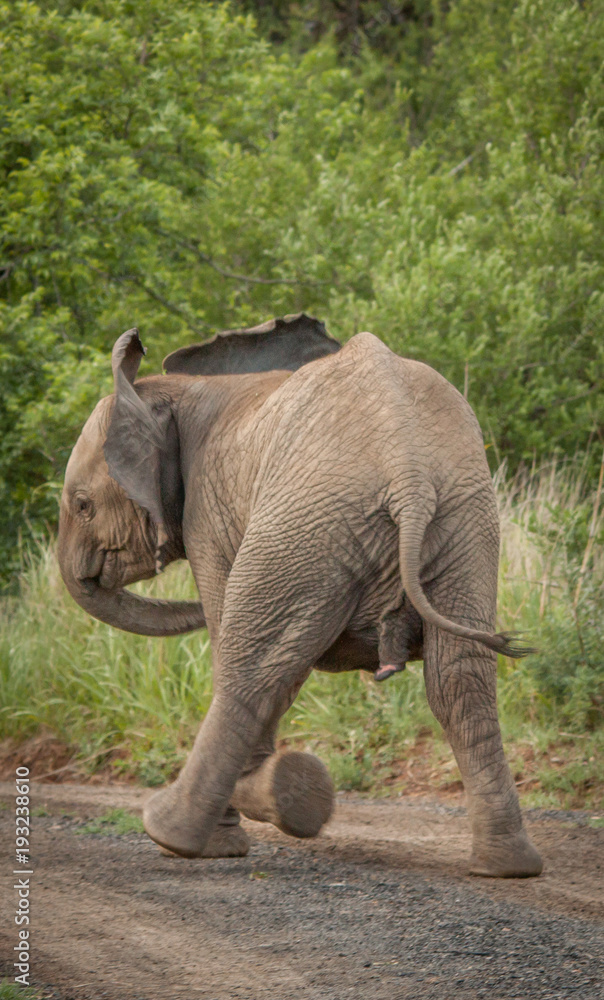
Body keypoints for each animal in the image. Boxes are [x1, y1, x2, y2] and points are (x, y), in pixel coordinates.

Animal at [58, 312, 542, 877]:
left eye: (83, 505)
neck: (173, 393)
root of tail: (409, 474)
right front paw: (280, 793)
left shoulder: (206, 516)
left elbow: (234, 633)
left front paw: (265, 797)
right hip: (464, 523)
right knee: (460, 680)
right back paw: (507, 866)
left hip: (307, 522)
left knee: (252, 668)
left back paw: (175, 833)